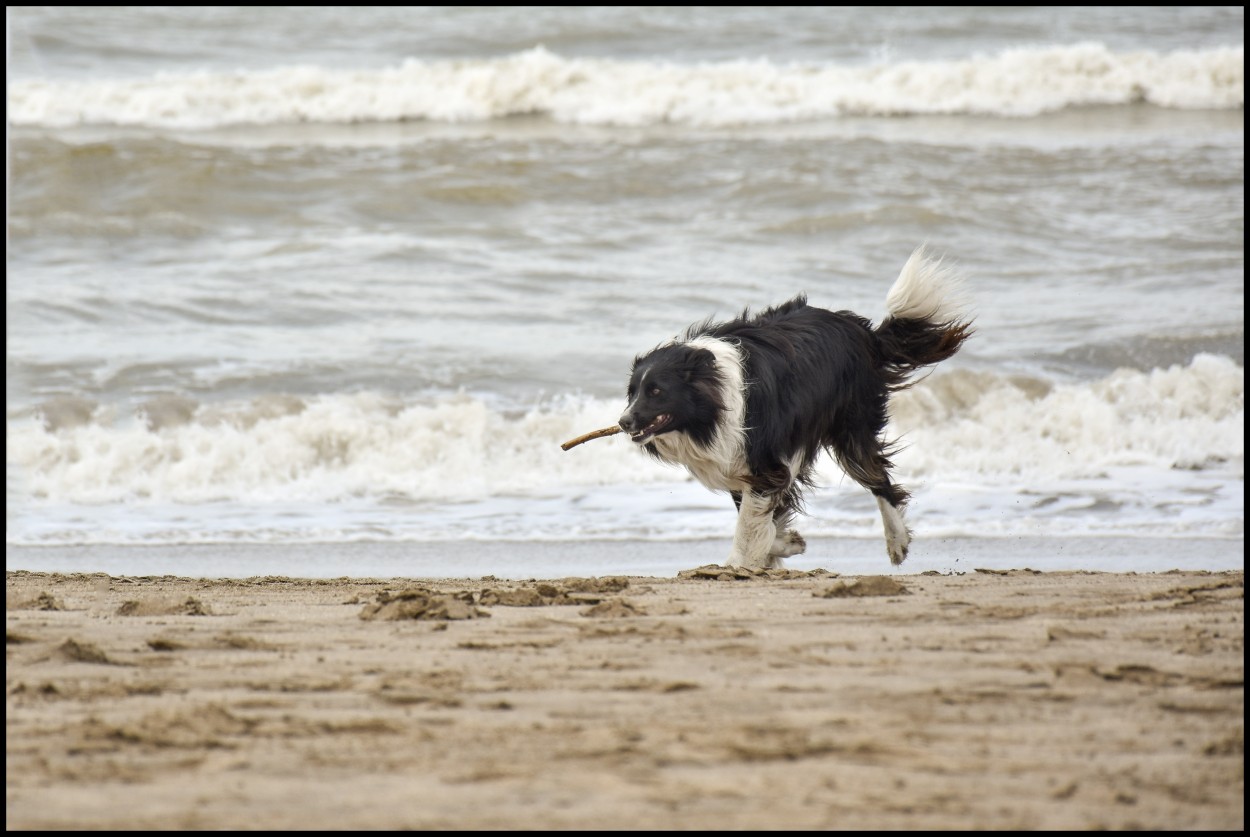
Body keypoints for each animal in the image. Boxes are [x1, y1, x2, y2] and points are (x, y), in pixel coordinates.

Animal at [620, 244, 970, 569]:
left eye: (656, 391)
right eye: (632, 392)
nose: (624, 422)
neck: (711, 399)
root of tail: (864, 333)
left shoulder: (762, 458)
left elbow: (749, 522)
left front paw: (738, 563)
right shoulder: (741, 460)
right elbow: (762, 515)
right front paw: (785, 544)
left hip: (851, 424)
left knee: (878, 477)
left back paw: (897, 542)